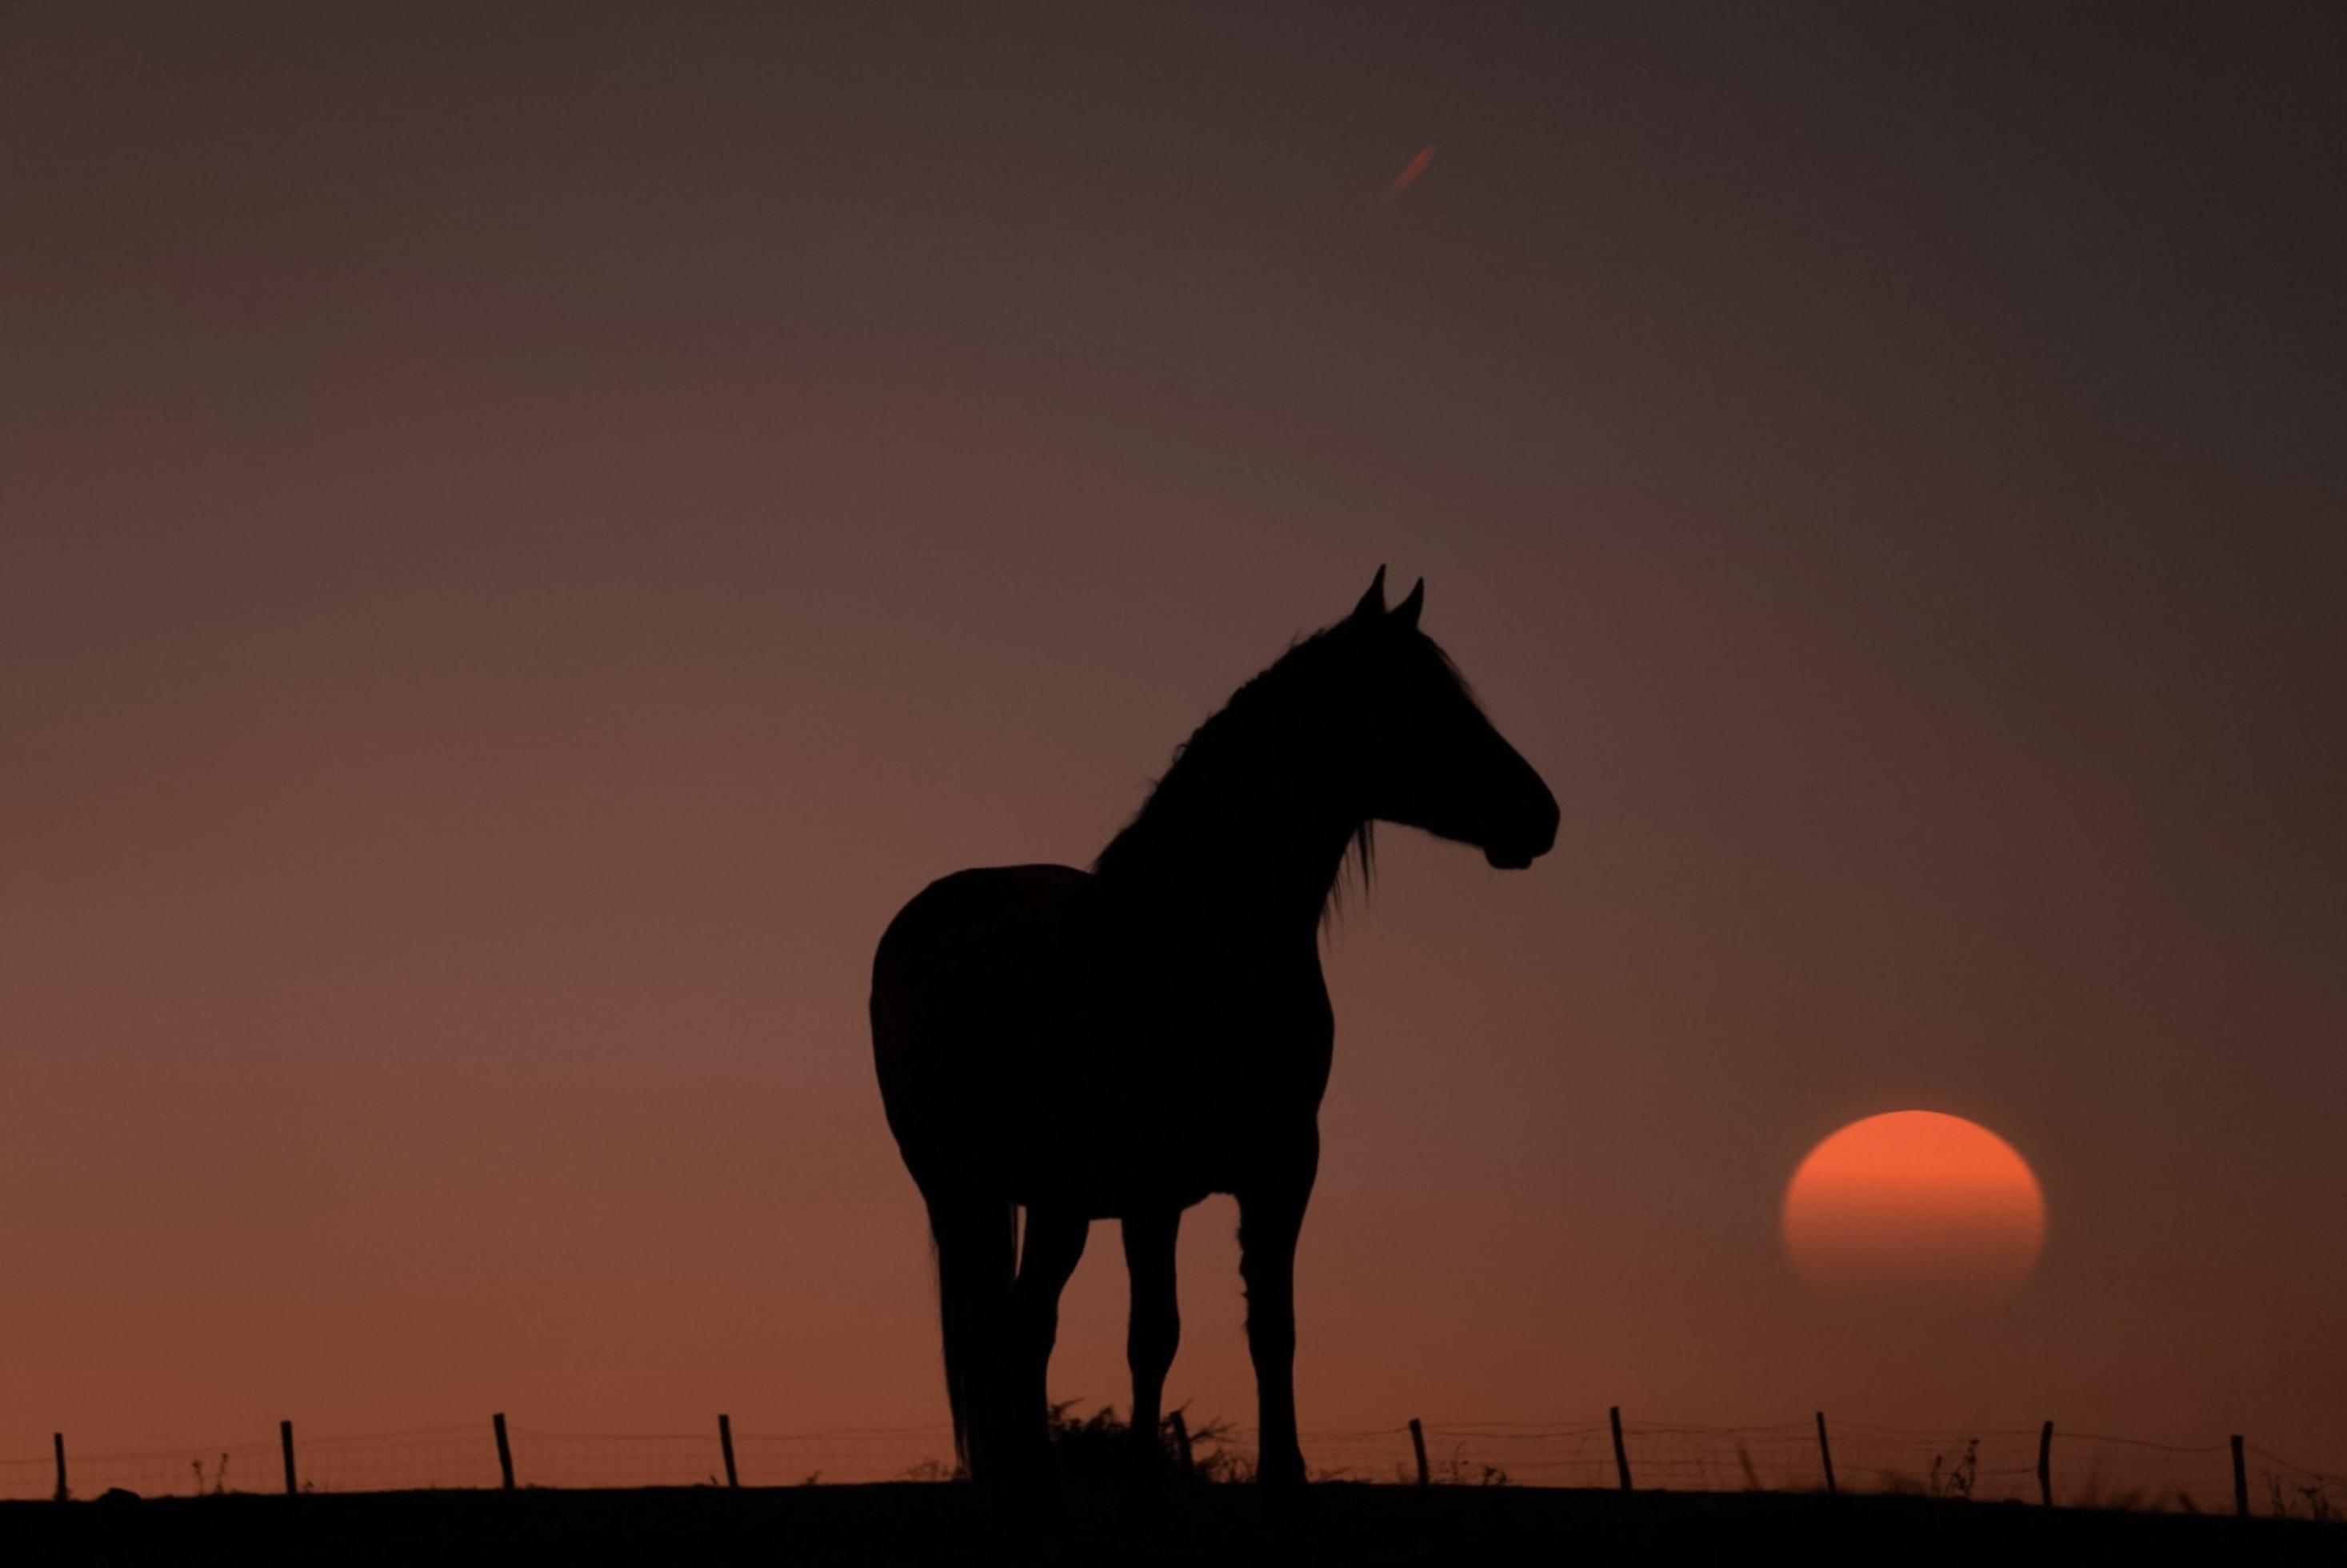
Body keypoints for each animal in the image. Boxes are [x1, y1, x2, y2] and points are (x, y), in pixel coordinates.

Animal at [869, 569, 1558, 1502]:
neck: (1196, 941)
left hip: (1053, 1201)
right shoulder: (1151, 1186)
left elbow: (1273, 1325)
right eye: (1426, 704)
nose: (1543, 816)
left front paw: (1284, 1470)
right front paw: (1142, 1476)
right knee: (996, 1323)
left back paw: (1037, 1469)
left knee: (1025, 1320)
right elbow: (1152, 1333)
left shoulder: (1284, 1169)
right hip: (962, 1188)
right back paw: (1022, 1474)